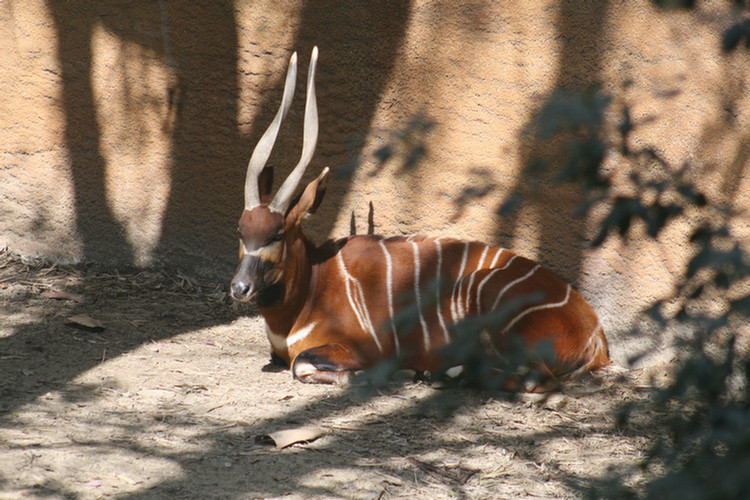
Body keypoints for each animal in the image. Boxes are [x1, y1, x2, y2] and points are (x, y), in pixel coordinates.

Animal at [231, 47, 612, 384]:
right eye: (241, 231)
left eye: (277, 234)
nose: (239, 287)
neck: (313, 287)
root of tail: (596, 335)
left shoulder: (364, 349)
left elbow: (302, 365)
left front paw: (380, 376)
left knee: (537, 379)